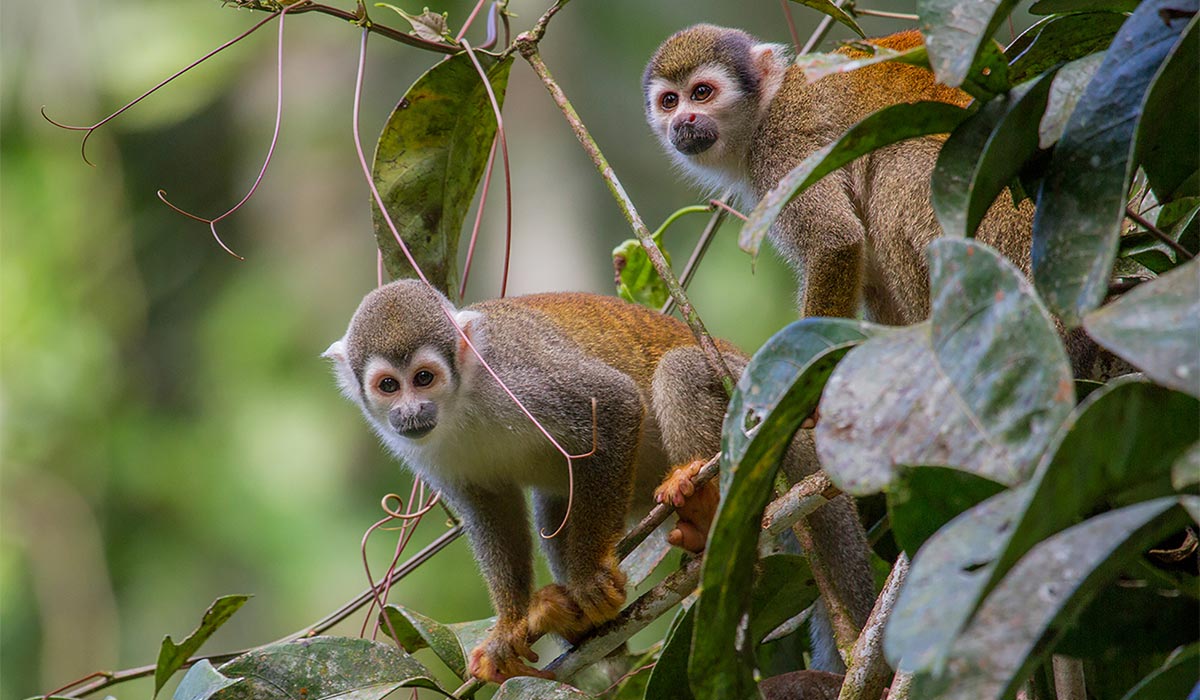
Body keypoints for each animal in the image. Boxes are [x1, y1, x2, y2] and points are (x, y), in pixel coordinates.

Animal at [326, 280, 874, 682]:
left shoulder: (516, 377)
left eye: (424, 378)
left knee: (680, 370)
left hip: (751, 395)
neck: (460, 402)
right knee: (556, 499)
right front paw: (509, 627)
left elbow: (613, 403)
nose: (411, 412)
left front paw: (589, 578)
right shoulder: (426, 452)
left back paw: (706, 513)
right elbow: (489, 511)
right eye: (388, 386)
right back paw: (579, 624)